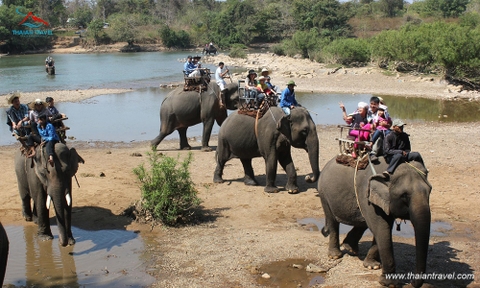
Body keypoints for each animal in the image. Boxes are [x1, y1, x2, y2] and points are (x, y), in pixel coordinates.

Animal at [318, 158, 432, 288]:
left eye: (430, 191)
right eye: (404, 196)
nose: (412, 282)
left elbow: (383, 228)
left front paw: (372, 266)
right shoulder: (367, 194)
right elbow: (382, 228)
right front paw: (389, 284)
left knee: (362, 223)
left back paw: (350, 248)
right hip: (324, 195)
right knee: (333, 221)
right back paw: (335, 255)